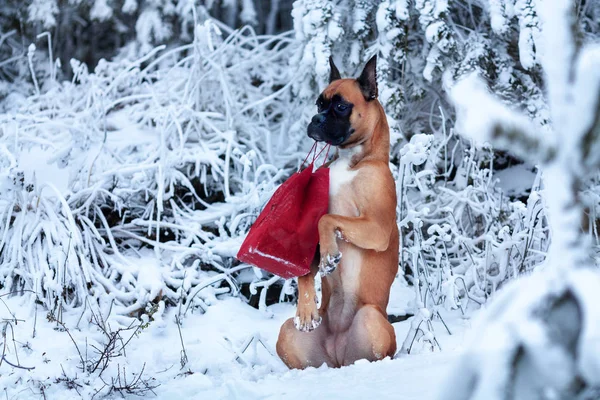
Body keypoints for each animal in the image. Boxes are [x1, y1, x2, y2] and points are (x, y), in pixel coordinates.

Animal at [276, 55, 398, 368]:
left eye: (341, 106)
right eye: (319, 104)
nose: (315, 119)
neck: (351, 159)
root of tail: (338, 356)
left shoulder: (377, 229)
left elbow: (328, 219)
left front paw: (330, 252)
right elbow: (306, 267)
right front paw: (306, 307)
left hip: (371, 319)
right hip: (288, 334)